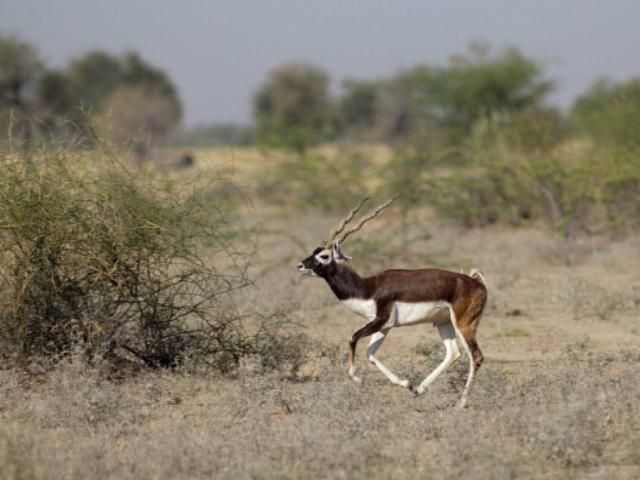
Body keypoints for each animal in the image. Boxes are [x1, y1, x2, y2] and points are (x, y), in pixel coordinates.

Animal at [298, 197, 488, 406]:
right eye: (314, 251)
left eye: (324, 256)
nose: (300, 265)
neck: (367, 288)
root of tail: (476, 282)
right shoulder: (384, 326)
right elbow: (370, 354)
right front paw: (408, 385)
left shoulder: (380, 320)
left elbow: (353, 338)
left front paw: (357, 378)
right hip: (443, 322)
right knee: (453, 353)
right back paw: (420, 389)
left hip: (464, 323)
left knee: (476, 357)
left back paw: (460, 404)